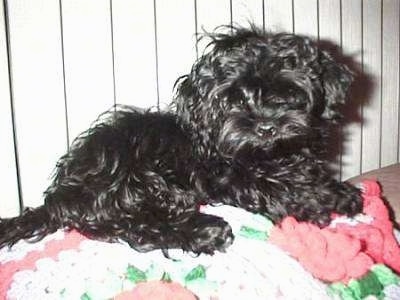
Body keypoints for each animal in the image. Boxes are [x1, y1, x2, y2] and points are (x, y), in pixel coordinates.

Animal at [0, 26, 362, 255]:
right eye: (233, 99)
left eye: (289, 94)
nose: (265, 127)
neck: (271, 157)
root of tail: (62, 193)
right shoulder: (226, 177)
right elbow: (269, 188)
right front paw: (313, 203)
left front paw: (339, 192)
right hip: (143, 182)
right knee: (138, 225)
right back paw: (206, 232)